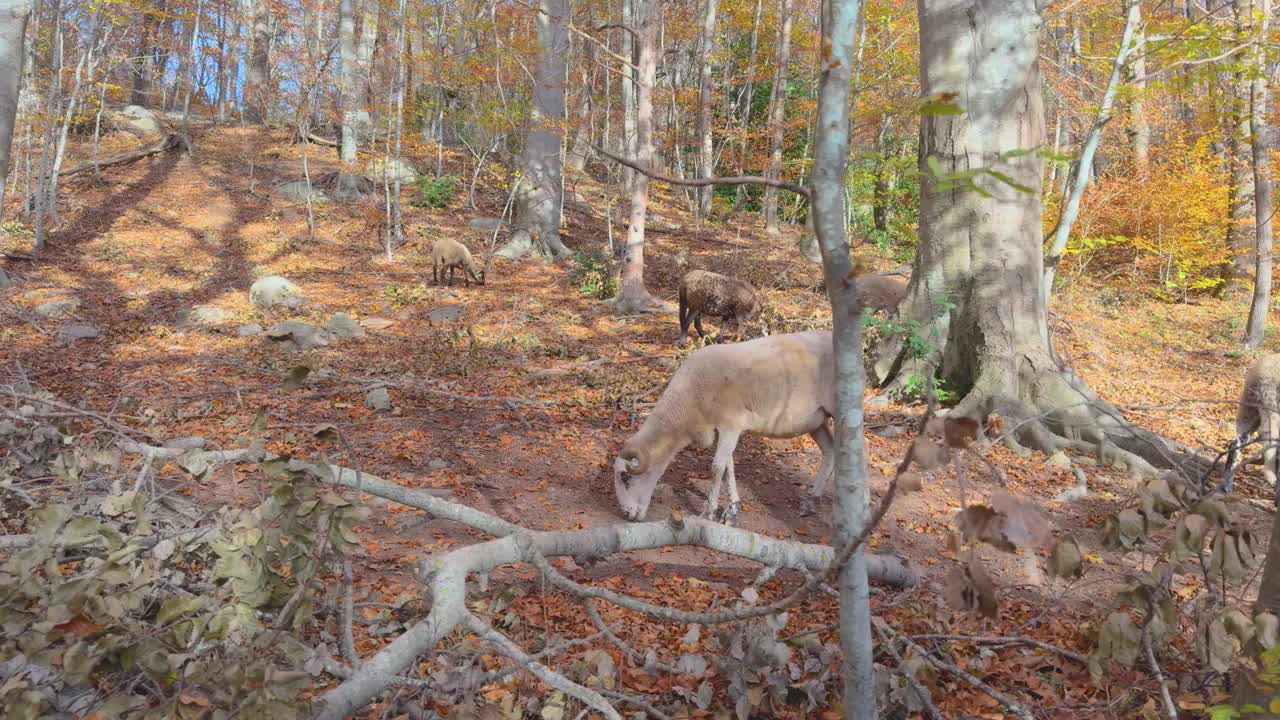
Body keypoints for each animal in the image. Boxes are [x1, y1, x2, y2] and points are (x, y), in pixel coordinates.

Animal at [611, 330, 834, 520]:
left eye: (625, 477)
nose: (626, 514)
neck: (687, 402)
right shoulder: (719, 429)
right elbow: (729, 466)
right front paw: (732, 508)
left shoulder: (730, 425)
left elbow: (717, 468)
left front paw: (709, 512)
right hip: (817, 420)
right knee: (830, 450)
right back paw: (811, 500)